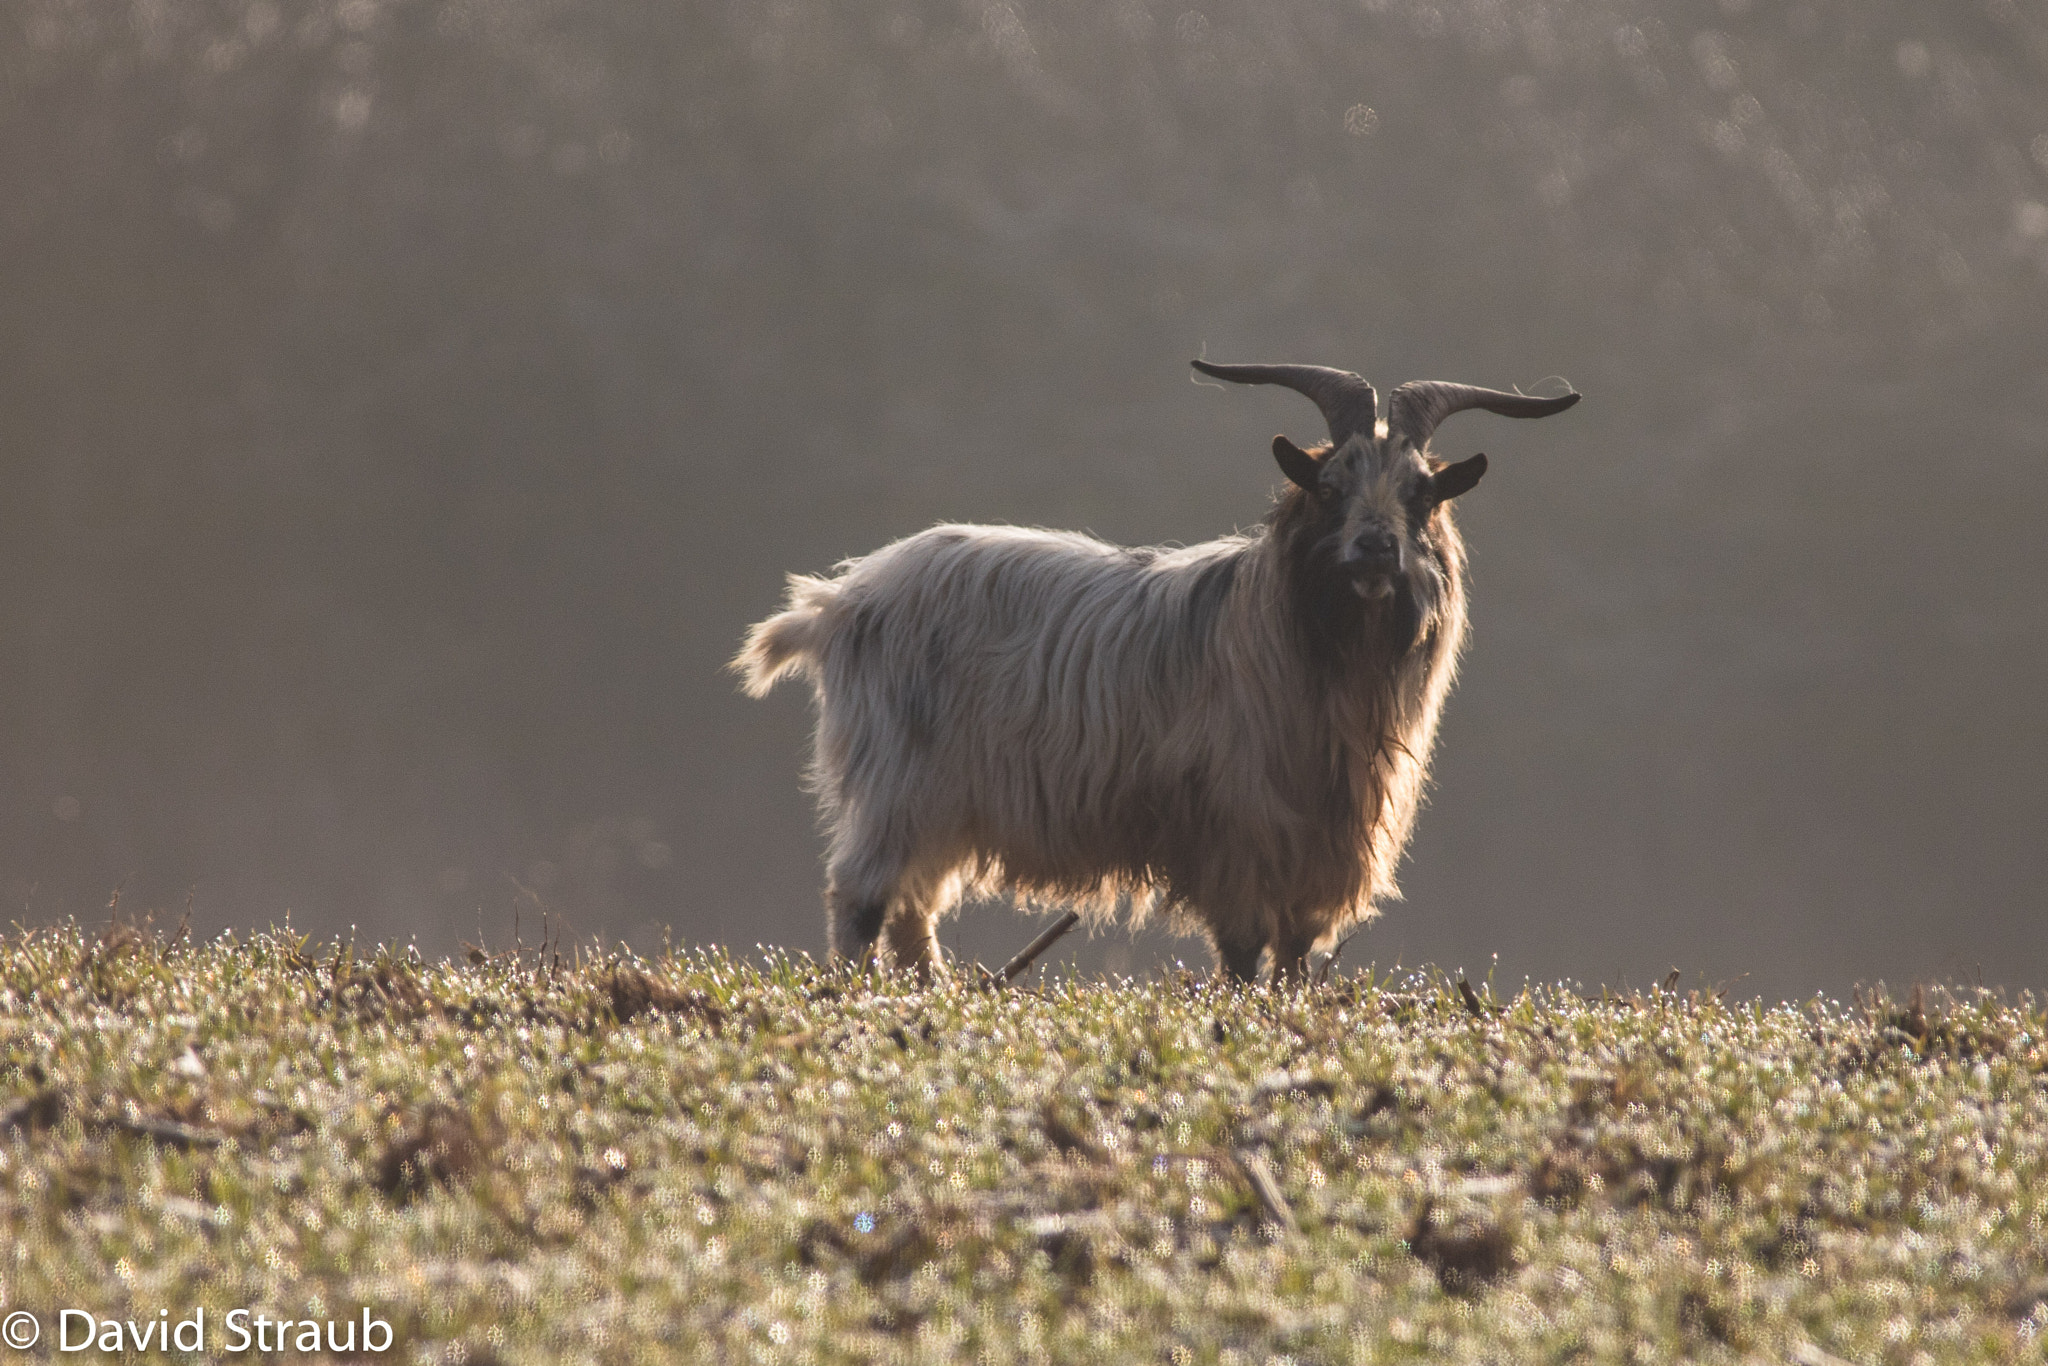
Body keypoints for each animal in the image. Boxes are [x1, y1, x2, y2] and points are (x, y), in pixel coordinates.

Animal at [737, 362, 1581, 983]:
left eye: (1420, 492)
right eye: (1329, 486)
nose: (1374, 550)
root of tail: (841, 600)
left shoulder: (1316, 853)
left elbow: (1294, 960)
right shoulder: (1237, 834)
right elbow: (1241, 955)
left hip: (939, 803)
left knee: (914, 908)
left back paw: (932, 991)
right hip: (897, 778)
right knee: (861, 896)